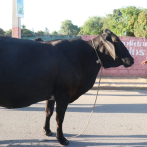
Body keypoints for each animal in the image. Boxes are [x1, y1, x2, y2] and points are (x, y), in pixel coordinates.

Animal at [0, 29, 133, 145]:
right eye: (117, 40)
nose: (131, 59)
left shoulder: (51, 94)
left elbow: (48, 112)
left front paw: (47, 131)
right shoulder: (63, 93)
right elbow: (60, 117)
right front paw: (62, 139)